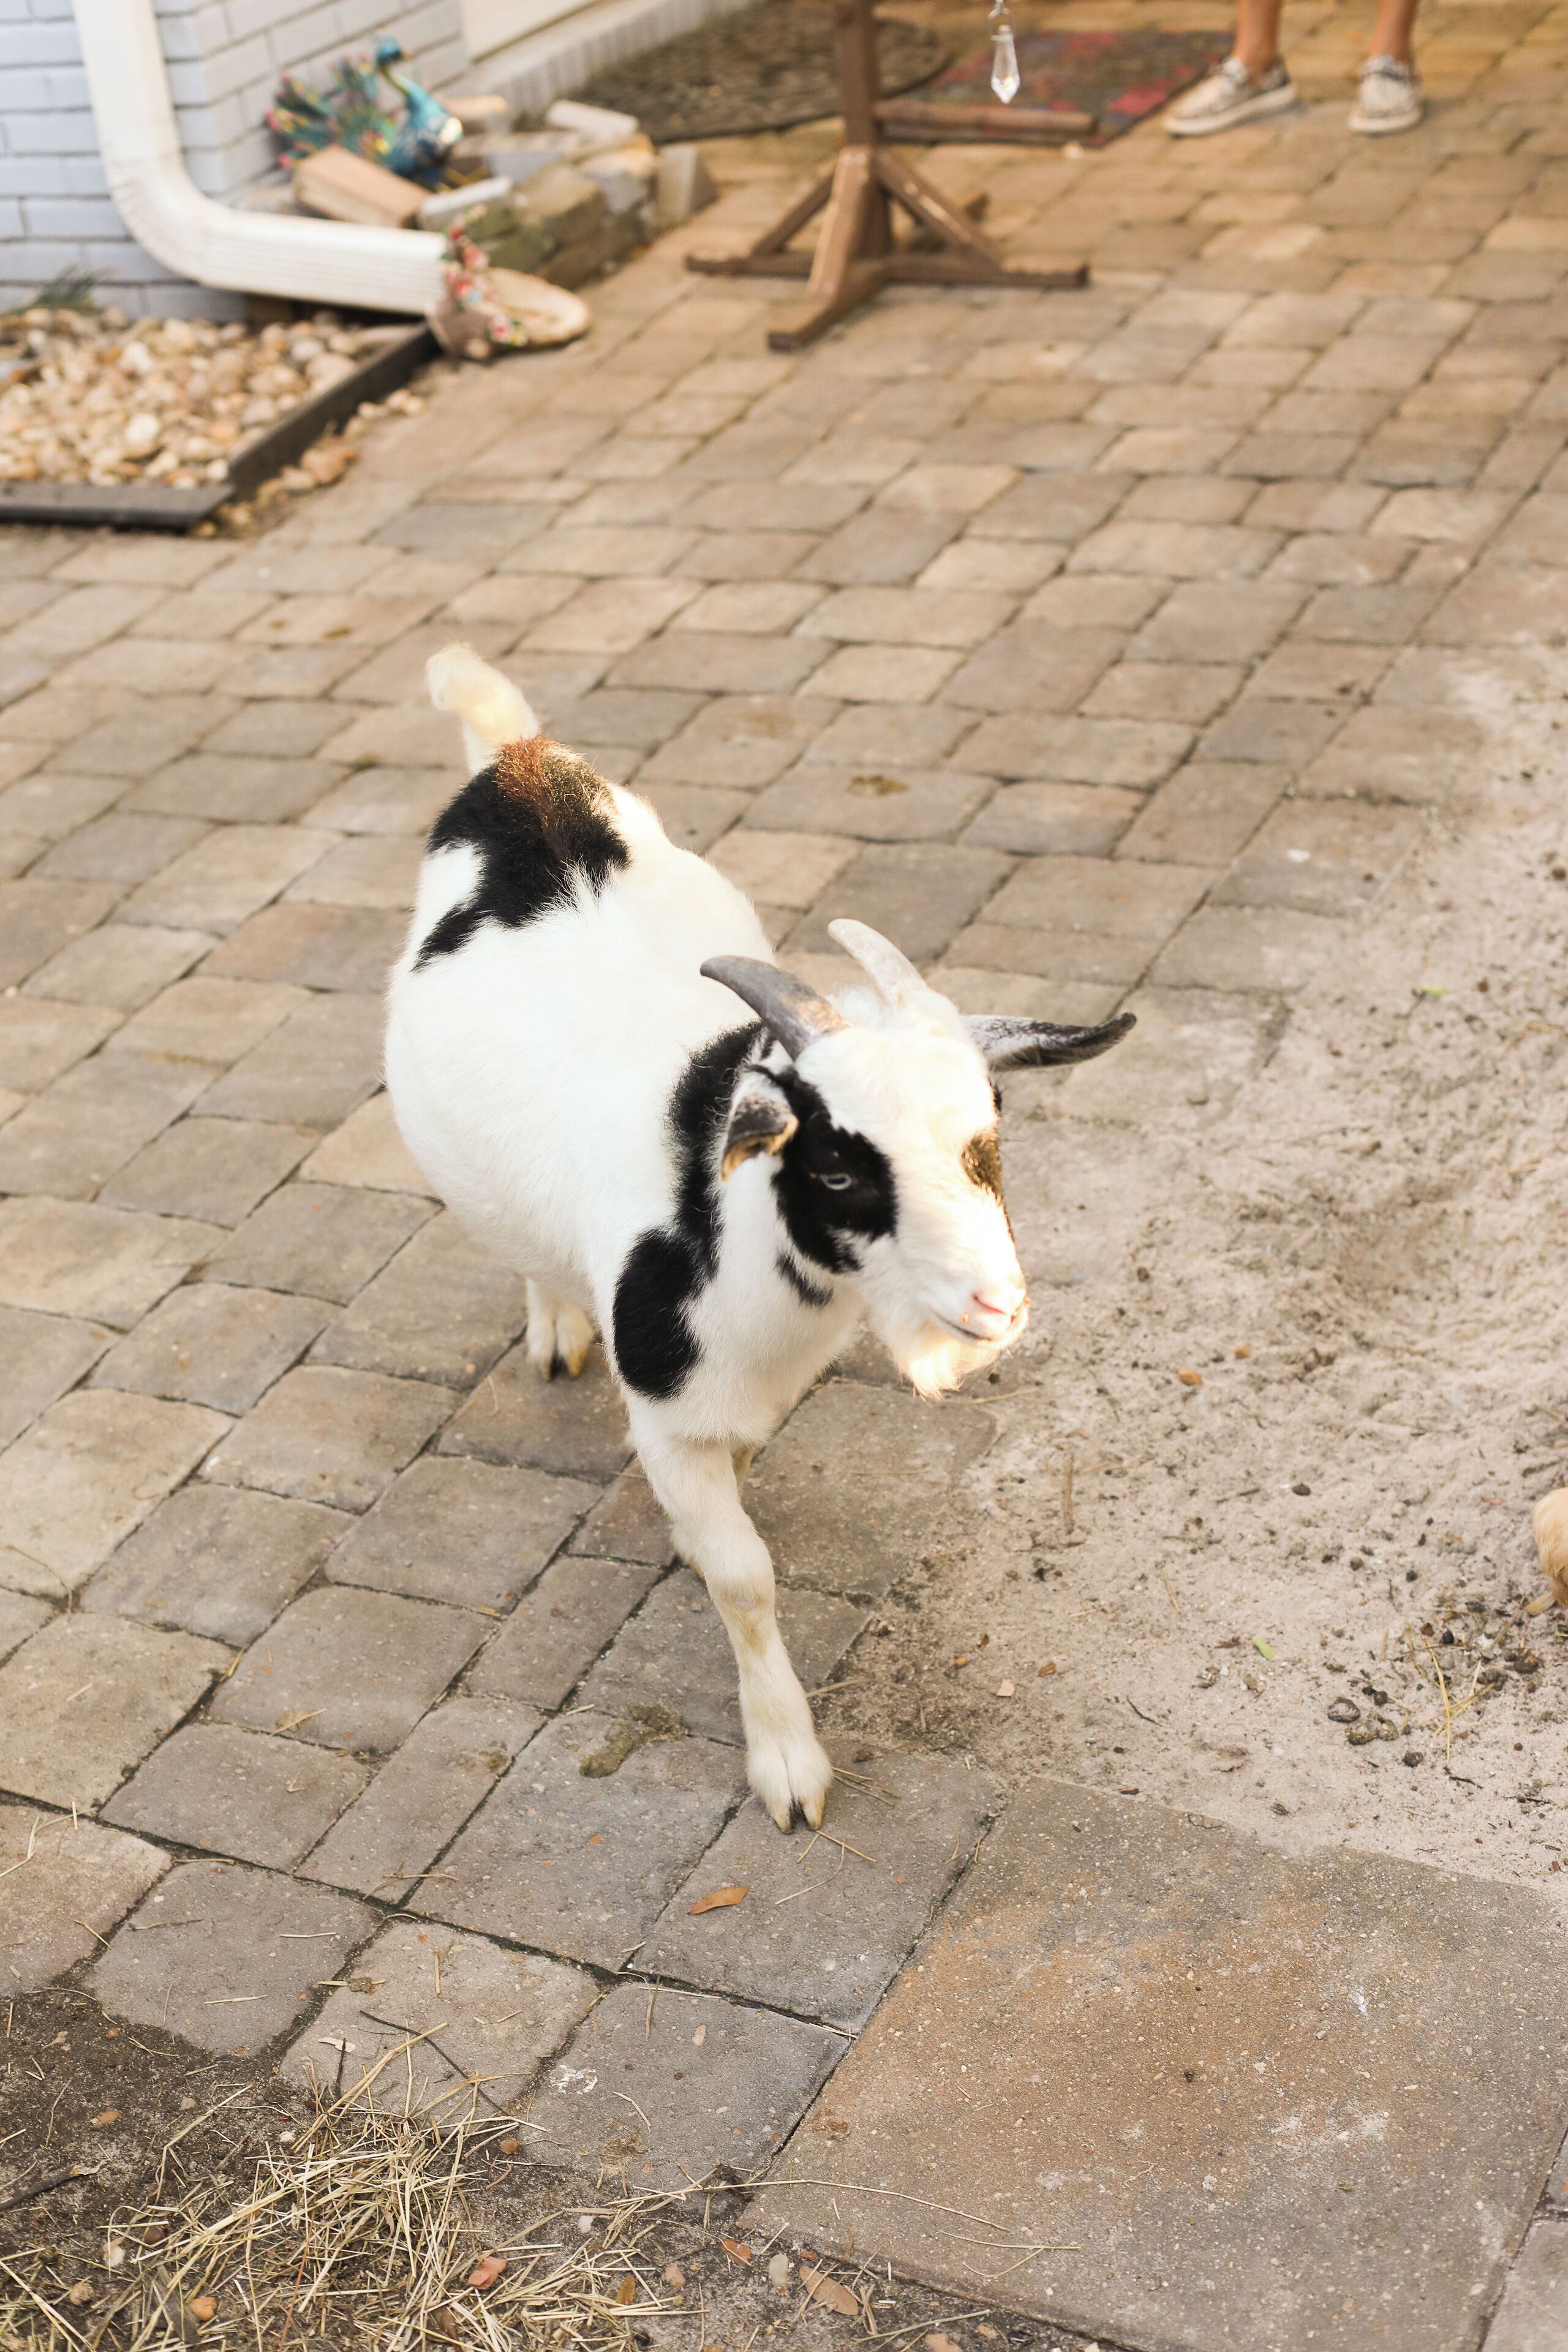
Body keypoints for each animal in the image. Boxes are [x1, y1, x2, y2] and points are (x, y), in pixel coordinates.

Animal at [386, 645, 1134, 1830]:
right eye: (835, 1165)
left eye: (989, 1135)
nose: (998, 1306)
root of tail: (519, 760)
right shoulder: (664, 1417)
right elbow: (744, 1574)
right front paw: (788, 1762)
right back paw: (553, 1326)